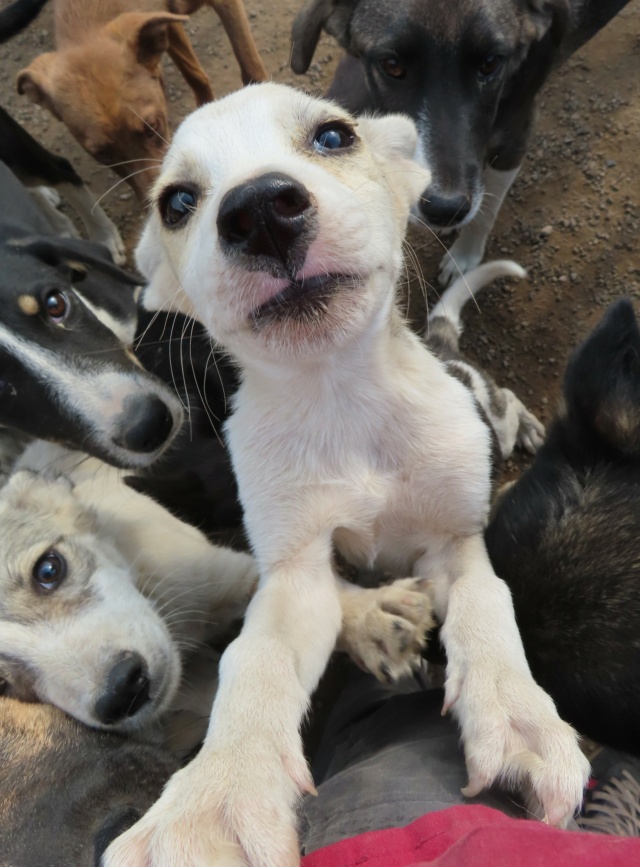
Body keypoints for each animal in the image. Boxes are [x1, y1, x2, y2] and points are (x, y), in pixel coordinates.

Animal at [16, 0, 264, 198]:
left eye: (152, 127)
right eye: (103, 154)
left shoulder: (225, 5)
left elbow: (251, 69)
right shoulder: (169, 25)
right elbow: (195, 76)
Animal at [106, 79, 592, 860]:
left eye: (333, 137)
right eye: (176, 202)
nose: (260, 209)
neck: (344, 401)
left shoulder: (457, 543)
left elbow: (488, 606)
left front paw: (518, 714)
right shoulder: (296, 575)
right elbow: (253, 663)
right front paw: (213, 800)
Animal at [294, 0, 632, 284]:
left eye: (491, 62)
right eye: (391, 65)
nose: (445, 210)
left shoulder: (514, 142)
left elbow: (486, 212)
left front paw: (465, 258)